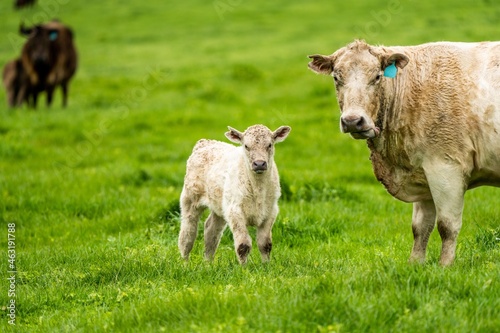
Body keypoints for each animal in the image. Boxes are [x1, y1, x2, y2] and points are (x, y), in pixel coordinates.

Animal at [306, 40, 500, 264]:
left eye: (377, 76)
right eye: (336, 78)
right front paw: (415, 264)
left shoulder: (446, 167)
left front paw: (445, 266)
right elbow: (420, 227)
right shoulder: (423, 173)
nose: (352, 121)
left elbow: (447, 226)